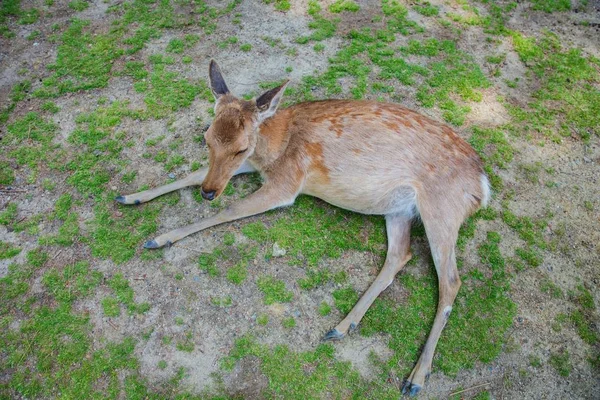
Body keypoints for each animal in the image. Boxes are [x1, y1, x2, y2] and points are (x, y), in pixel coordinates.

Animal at [115, 61, 490, 396]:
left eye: (241, 147)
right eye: (206, 137)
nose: (209, 193)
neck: (274, 145)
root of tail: (483, 186)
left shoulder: (286, 184)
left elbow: (229, 210)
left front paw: (160, 238)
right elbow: (191, 174)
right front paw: (130, 196)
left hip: (441, 210)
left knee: (451, 280)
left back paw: (415, 378)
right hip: (398, 210)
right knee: (400, 255)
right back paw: (342, 326)